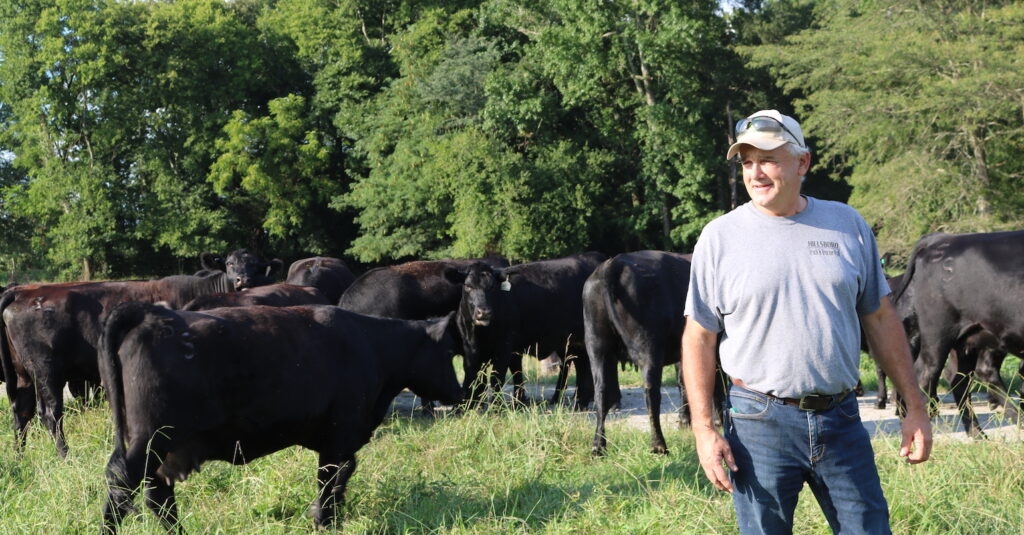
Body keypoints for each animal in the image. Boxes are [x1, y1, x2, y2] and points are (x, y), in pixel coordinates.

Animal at [0, 268, 270, 457]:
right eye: (231, 263)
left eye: (257, 266)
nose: (244, 280)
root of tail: (22, 293)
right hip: (47, 371)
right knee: (50, 414)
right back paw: (65, 456)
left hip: (23, 374)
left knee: (22, 411)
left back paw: (19, 456)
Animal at [98, 303, 461, 534]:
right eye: (448, 352)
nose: (460, 393)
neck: (372, 345)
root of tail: (151, 311)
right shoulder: (340, 434)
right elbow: (331, 477)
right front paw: (323, 520)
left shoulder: (338, 439)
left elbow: (341, 475)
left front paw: (327, 516)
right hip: (153, 437)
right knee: (123, 483)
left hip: (158, 445)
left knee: (156, 494)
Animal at [453, 252, 607, 409]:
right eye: (468, 286)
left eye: (492, 287)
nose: (484, 312)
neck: (480, 333)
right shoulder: (472, 350)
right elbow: (476, 377)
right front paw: (469, 406)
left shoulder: (504, 348)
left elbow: (497, 378)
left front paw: (496, 406)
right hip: (568, 342)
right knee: (572, 365)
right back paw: (561, 399)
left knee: (586, 369)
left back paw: (582, 403)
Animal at [583, 251, 720, 455]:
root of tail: (614, 263)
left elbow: (684, 382)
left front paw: (685, 421)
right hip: (648, 346)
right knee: (651, 392)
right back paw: (658, 445)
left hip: (596, 347)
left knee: (601, 392)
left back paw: (598, 445)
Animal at [891, 230, 1024, 436]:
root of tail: (942, 239)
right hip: (938, 333)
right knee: (925, 374)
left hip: (970, 339)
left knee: (961, 379)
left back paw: (979, 434)